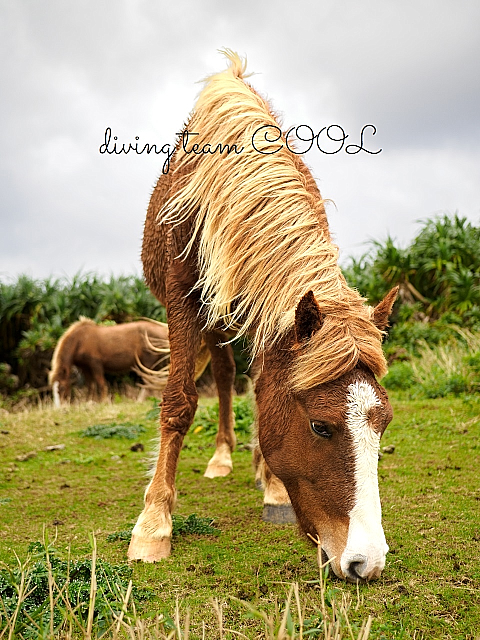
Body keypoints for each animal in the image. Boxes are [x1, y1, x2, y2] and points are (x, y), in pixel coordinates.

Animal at [127, 51, 398, 584]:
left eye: (384, 423)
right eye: (320, 426)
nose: (367, 561)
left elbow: (264, 389)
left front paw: (272, 485)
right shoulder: (182, 300)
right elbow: (180, 402)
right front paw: (153, 525)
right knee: (224, 375)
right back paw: (223, 457)